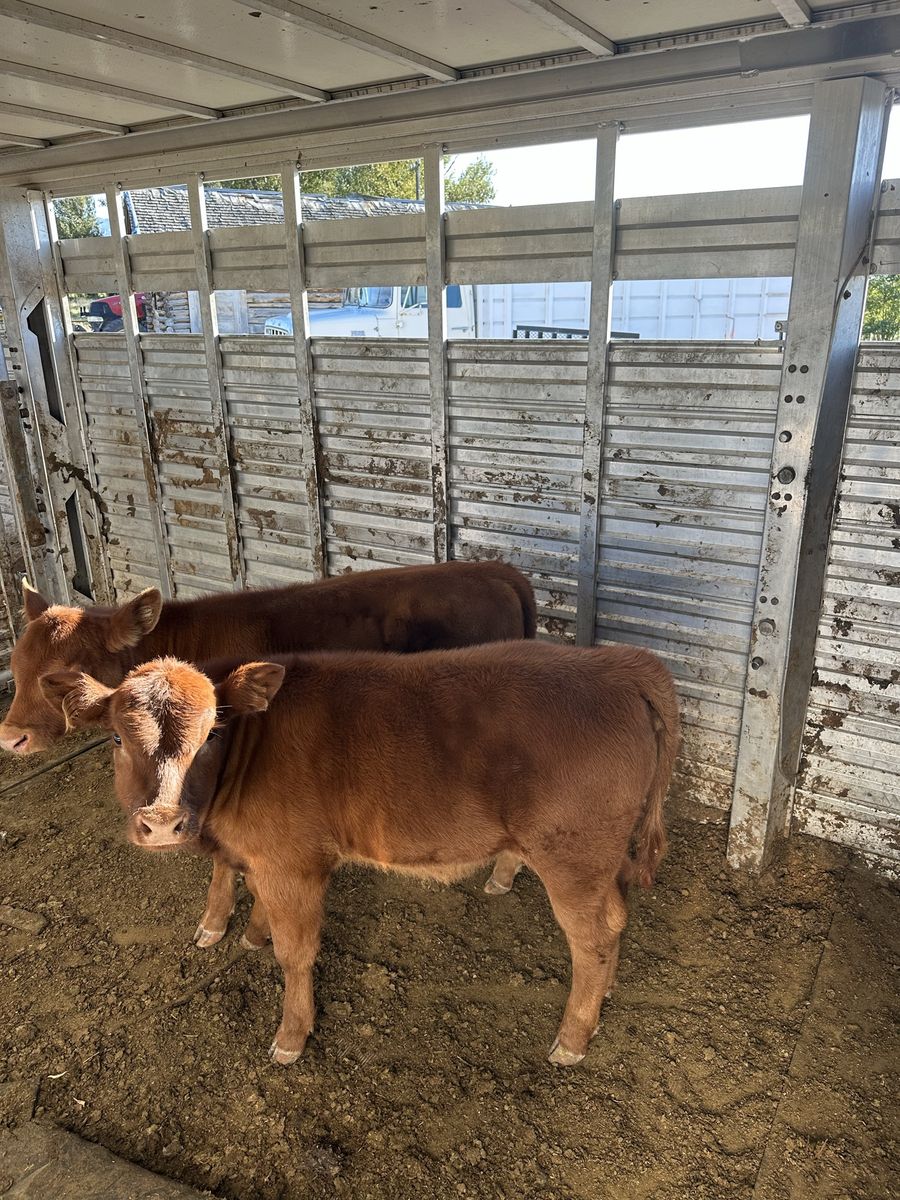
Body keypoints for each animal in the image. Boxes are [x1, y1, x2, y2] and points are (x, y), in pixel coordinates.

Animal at [43, 639, 680, 1068]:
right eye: (118, 737)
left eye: (212, 735)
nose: (162, 822)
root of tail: (619, 663)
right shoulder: (265, 860)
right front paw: (251, 933)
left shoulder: (294, 865)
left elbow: (297, 954)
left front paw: (291, 1035)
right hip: (598, 862)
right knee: (616, 920)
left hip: (571, 857)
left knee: (591, 940)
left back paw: (572, 1039)